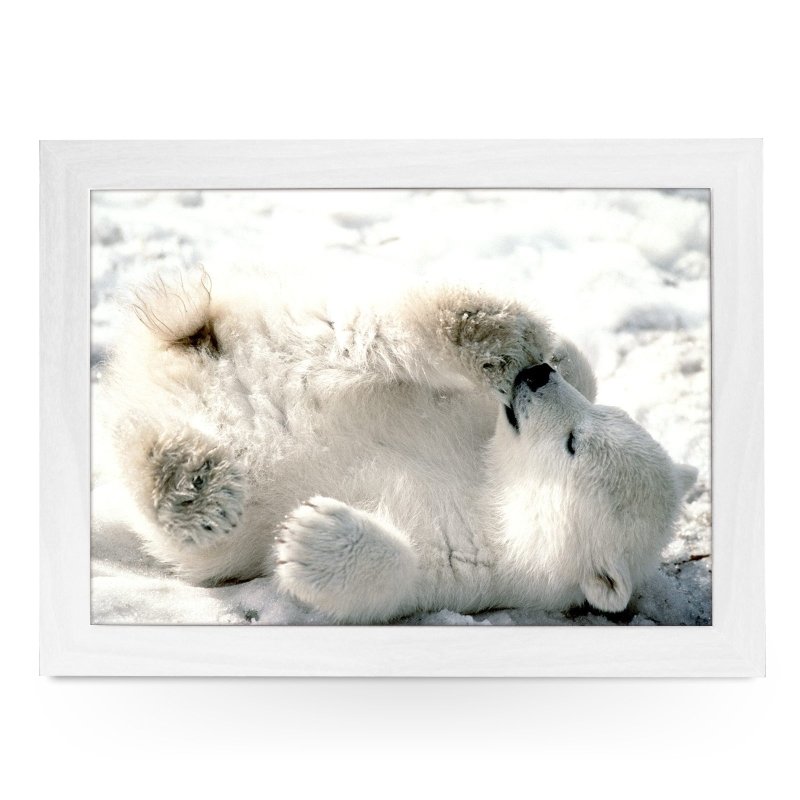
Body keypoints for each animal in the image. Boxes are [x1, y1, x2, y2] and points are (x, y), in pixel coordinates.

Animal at [99, 267, 697, 623]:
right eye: (602, 417)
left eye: (574, 444)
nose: (535, 378)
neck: (490, 485)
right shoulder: (471, 419)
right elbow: (573, 371)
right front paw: (550, 353)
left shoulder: (479, 567)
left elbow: (395, 580)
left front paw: (310, 535)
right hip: (305, 341)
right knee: (372, 337)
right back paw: (488, 331)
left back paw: (191, 485)